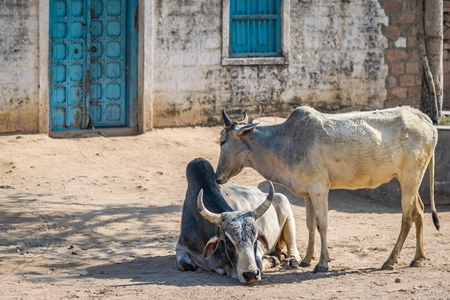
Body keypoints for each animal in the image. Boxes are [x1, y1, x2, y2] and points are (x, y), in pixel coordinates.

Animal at [214, 106, 440, 274]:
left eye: (223, 141)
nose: (217, 177)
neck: (285, 142)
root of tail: (426, 120)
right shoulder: (307, 192)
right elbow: (310, 224)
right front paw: (306, 259)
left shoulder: (319, 188)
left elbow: (322, 224)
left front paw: (322, 263)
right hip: (411, 179)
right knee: (419, 211)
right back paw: (419, 258)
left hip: (410, 178)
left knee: (407, 217)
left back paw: (390, 261)